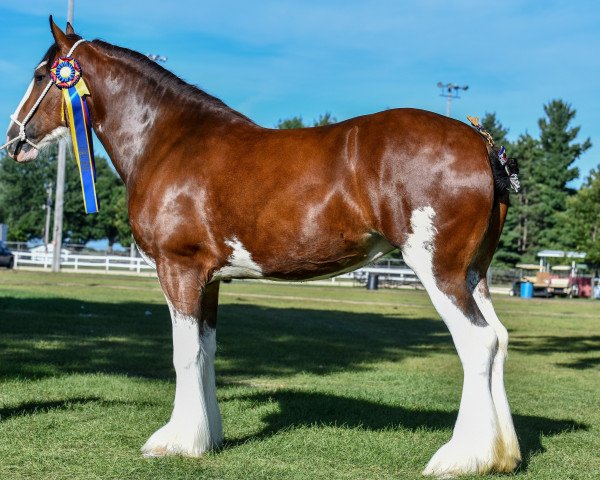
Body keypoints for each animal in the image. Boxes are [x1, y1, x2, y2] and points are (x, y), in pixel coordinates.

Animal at [3, 18, 520, 476]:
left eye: (39, 75)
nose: (12, 139)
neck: (168, 141)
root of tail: (481, 144)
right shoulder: (209, 279)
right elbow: (206, 350)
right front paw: (207, 437)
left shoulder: (177, 270)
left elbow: (183, 354)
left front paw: (175, 442)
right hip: (474, 274)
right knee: (499, 340)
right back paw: (502, 455)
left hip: (439, 269)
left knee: (477, 342)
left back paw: (460, 458)